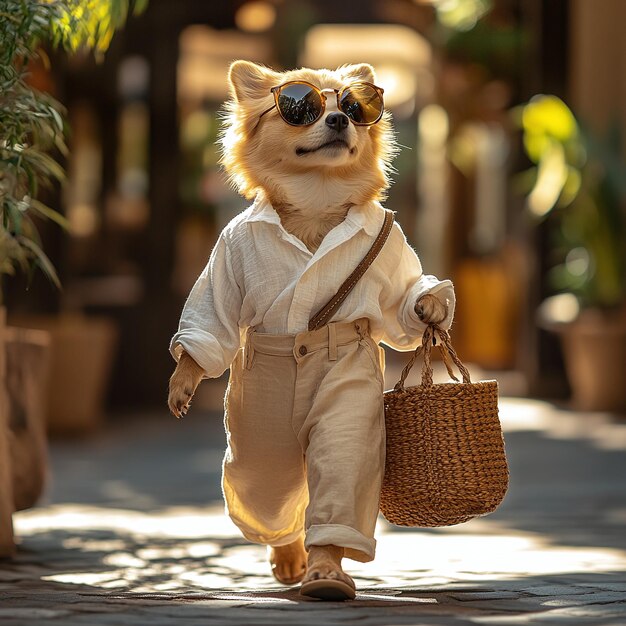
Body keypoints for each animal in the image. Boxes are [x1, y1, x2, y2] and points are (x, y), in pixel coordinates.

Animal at [168, 59, 450, 600]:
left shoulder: (388, 263)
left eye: (355, 106)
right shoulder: (226, 258)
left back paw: (315, 570)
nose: (339, 119)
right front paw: (183, 380)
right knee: (268, 500)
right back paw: (287, 557)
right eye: (303, 107)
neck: (317, 204)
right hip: (260, 448)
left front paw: (430, 302)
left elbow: (402, 305)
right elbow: (209, 325)